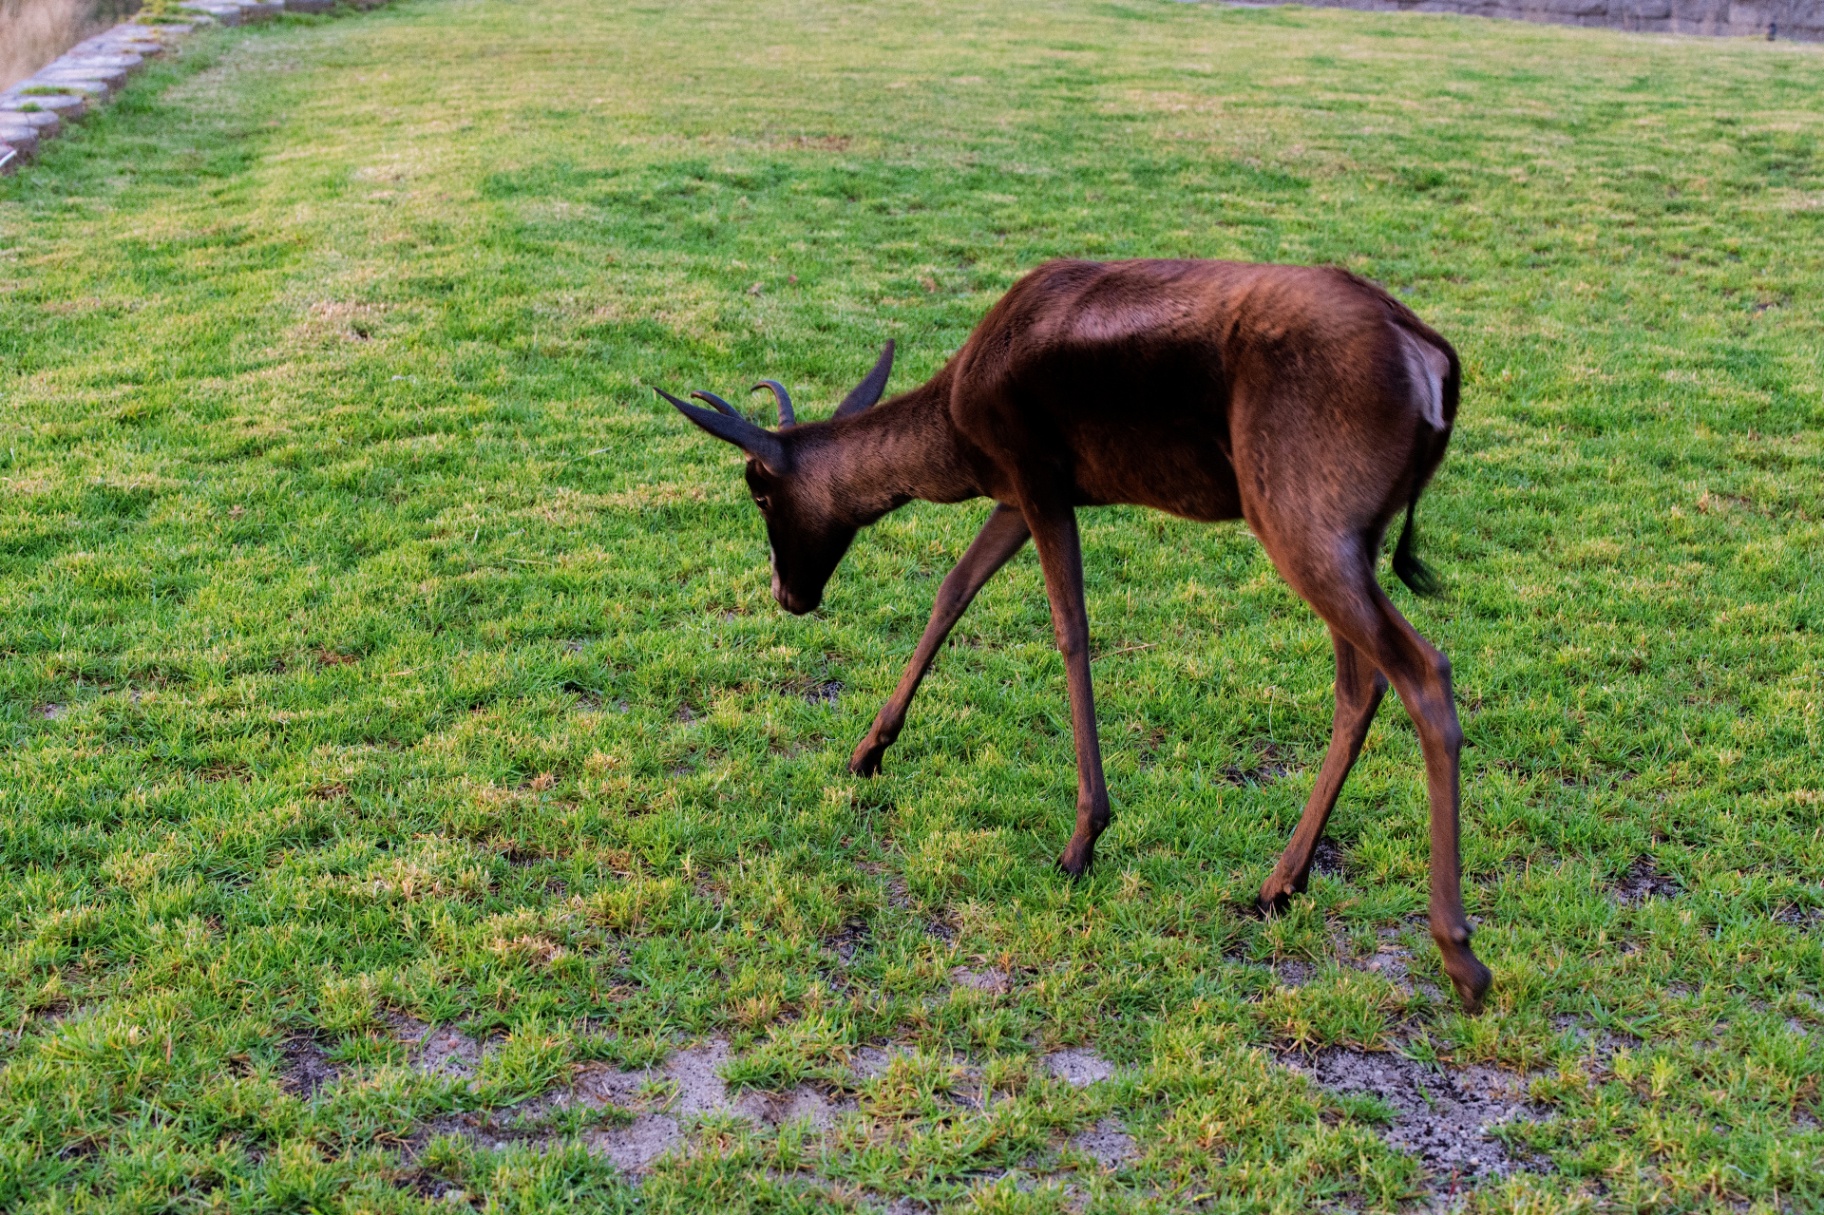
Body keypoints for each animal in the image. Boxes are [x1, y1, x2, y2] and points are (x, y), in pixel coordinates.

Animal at [658, 258, 1492, 1010]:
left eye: (758, 490)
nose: (788, 594)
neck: (957, 421)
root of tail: (1429, 354)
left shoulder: (1037, 474)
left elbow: (1070, 626)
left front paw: (1084, 837)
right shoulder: (1013, 492)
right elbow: (951, 591)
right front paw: (868, 749)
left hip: (1302, 522)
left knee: (1422, 670)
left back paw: (1460, 955)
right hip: (1347, 540)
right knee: (1362, 682)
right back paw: (1280, 884)